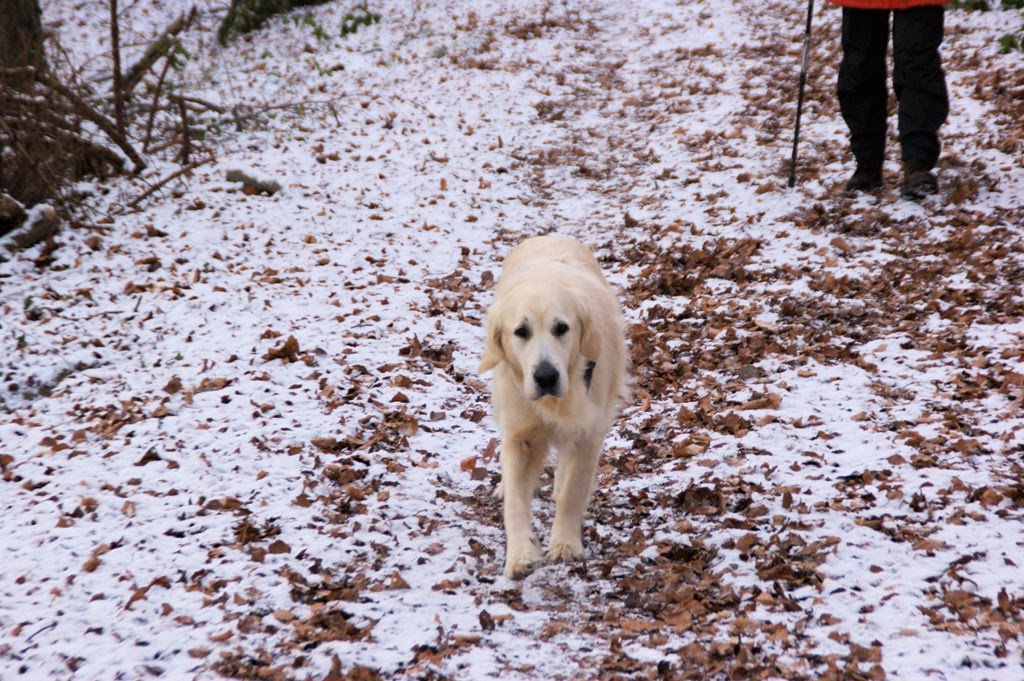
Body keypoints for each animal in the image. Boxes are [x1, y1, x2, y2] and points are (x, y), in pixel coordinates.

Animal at [479, 236, 630, 577]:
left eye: (561, 328)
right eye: (521, 331)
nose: (546, 376)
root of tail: (548, 236)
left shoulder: (589, 433)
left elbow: (574, 492)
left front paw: (565, 544)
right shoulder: (521, 435)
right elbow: (515, 504)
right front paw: (520, 555)